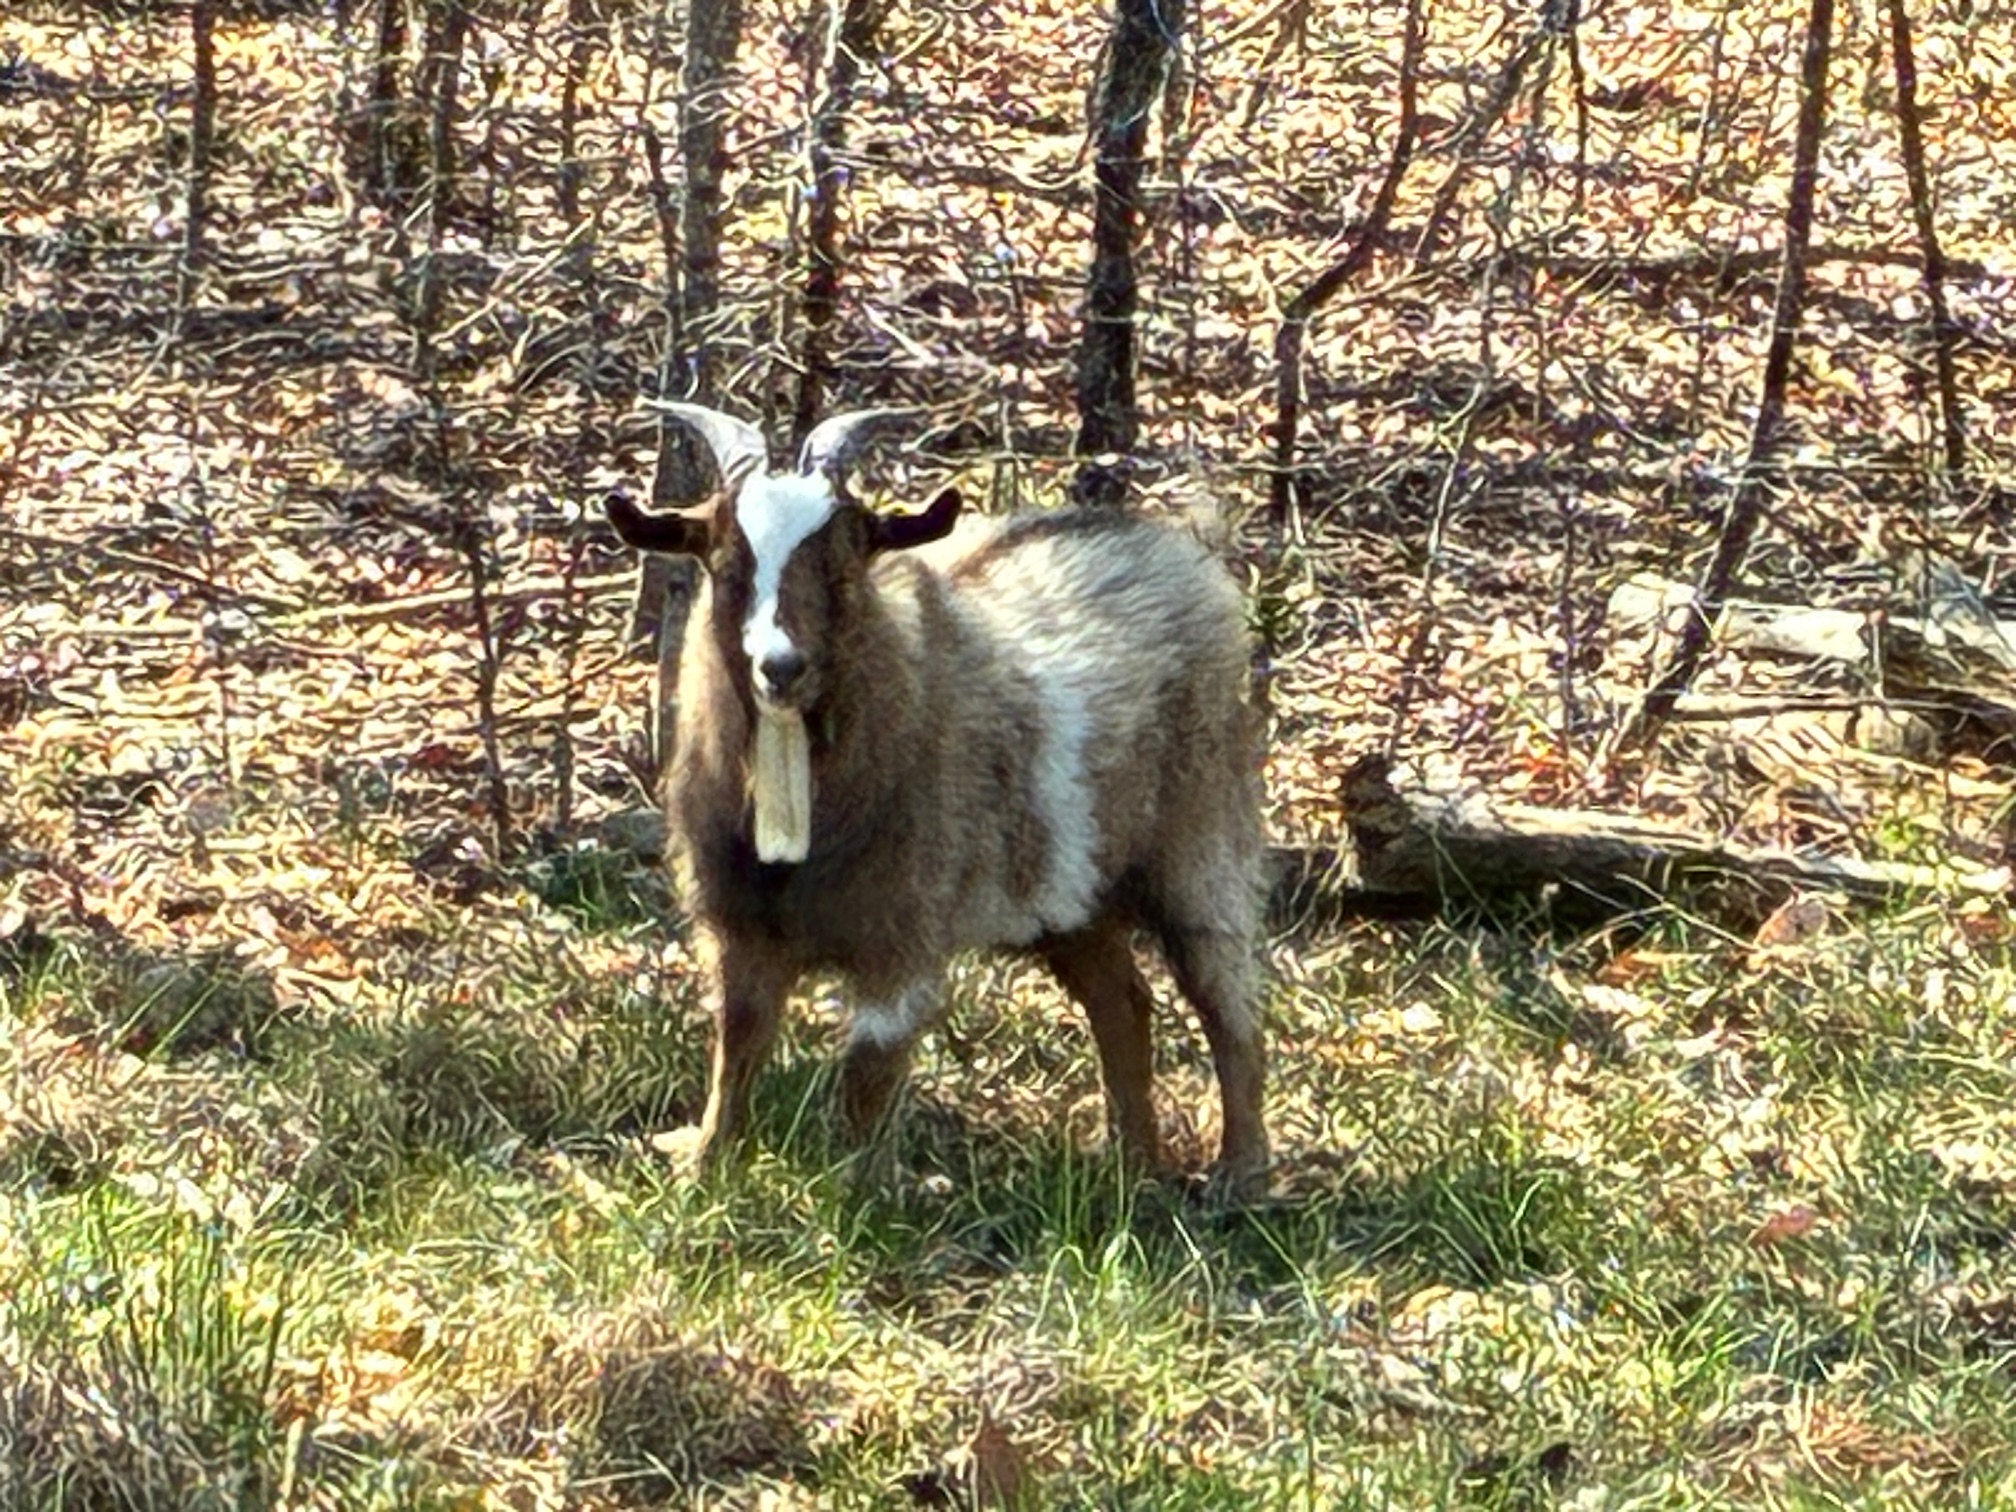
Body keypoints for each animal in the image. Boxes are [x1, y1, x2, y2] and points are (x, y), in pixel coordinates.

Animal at [606, 404, 1269, 1194]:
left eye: (846, 557)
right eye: (725, 560)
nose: (781, 667)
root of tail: (1185, 547)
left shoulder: (900, 936)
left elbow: (867, 1077)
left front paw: (858, 1201)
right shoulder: (741, 927)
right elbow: (736, 1048)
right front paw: (706, 1173)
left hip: (1200, 840)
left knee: (1229, 1001)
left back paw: (1241, 1176)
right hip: (1073, 897)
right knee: (1123, 1003)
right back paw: (1130, 1170)